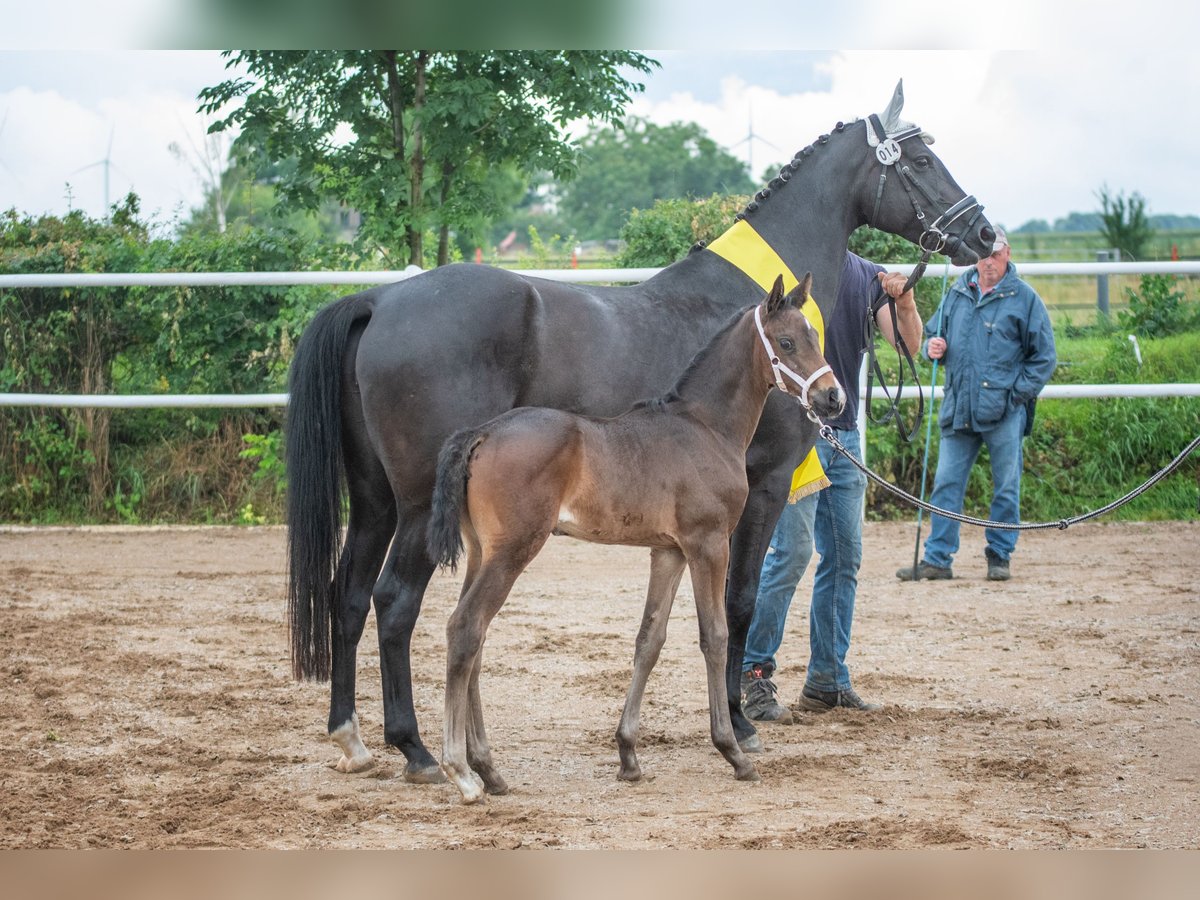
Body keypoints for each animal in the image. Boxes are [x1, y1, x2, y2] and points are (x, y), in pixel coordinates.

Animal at [429, 274, 844, 801]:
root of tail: (482, 433)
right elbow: (715, 634)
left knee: (475, 639)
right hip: (513, 551)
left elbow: (650, 639)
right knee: (466, 629)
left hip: (483, 553)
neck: (704, 426)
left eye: (814, 336)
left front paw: (628, 754)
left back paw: (489, 769)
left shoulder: (668, 551)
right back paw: (461, 772)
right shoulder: (708, 544)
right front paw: (732, 750)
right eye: (787, 342)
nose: (833, 399)